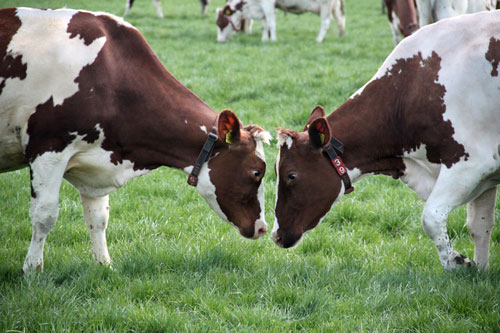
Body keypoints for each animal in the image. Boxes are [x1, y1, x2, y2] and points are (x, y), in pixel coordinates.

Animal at [0, 7, 272, 272]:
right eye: (257, 172)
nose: (262, 227)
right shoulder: (48, 149)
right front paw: (32, 270)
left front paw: (104, 266)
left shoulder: (94, 159)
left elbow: (98, 218)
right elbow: (44, 215)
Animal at [217, 0, 346, 42]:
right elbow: (265, 25)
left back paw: (318, 39)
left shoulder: (268, 4)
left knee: (325, 22)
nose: (219, 40)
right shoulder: (263, 8)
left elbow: (271, 23)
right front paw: (264, 39)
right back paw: (340, 36)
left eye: (221, 23)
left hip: (326, 6)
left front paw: (273, 39)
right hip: (335, 7)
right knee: (341, 20)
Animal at [274, 10, 500, 270]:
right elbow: (479, 226)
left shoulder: (471, 163)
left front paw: (456, 262)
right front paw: (480, 270)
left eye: (291, 175)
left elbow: (431, 218)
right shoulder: (485, 176)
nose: (276, 235)